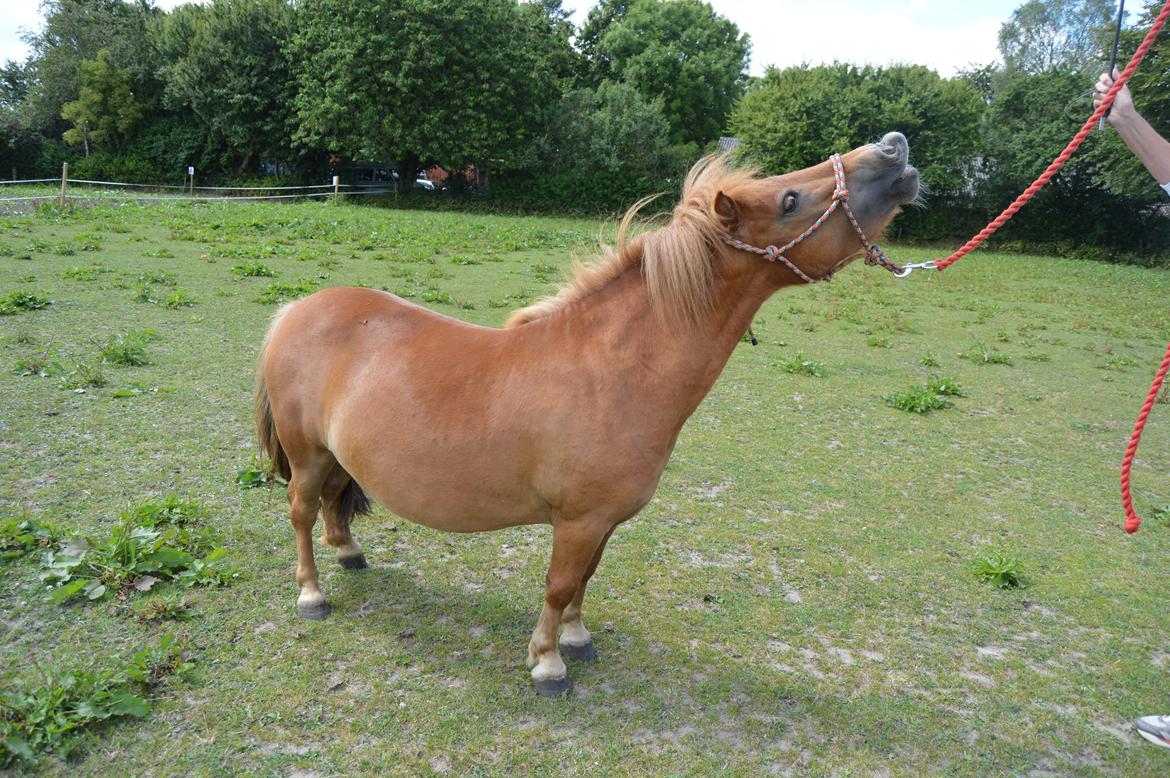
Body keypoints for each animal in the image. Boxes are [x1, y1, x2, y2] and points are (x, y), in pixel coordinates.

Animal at [258, 130, 921, 692]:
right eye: (790, 198)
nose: (893, 148)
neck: (616, 371)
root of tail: (296, 309)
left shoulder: (602, 521)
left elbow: (585, 580)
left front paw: (576, 640)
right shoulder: (576, 521)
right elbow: (557, 586)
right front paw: (548, 664)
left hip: (338, 453)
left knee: (333, 500)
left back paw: (350, 553)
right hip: (306, 454)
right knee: (300, 511)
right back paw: (312, 594)